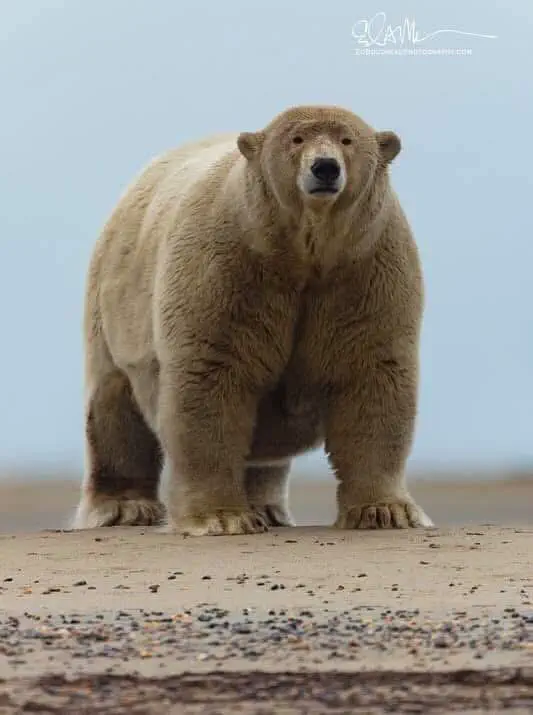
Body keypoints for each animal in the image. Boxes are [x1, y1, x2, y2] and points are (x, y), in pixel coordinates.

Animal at [73, 104, 433, 535]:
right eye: (296, 139)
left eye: (347, 140)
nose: (325, 167)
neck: (302, 253)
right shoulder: (229, 266)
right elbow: (212, 376)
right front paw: (221, 517)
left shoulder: (365, 269)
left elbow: (372, 375)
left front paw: (386, 511)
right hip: (113, 306)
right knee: (114, 406)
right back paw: (124, 508)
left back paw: (268, 508)